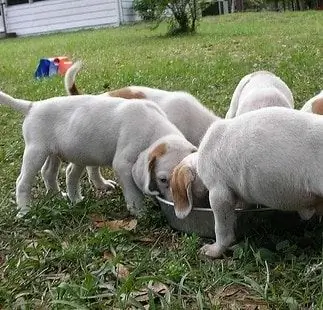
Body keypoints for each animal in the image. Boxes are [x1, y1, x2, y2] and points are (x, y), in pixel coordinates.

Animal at [0, 91, 195, 218]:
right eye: (163, 180)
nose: (177, 208)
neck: (154, 130)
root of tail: (33, 106)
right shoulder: (123, 165)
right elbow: (134, 192)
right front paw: (139, 212)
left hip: (55, 153)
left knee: (50, 173)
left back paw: (65, 197)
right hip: (36, 152)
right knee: (22, 182)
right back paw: (25, 210)